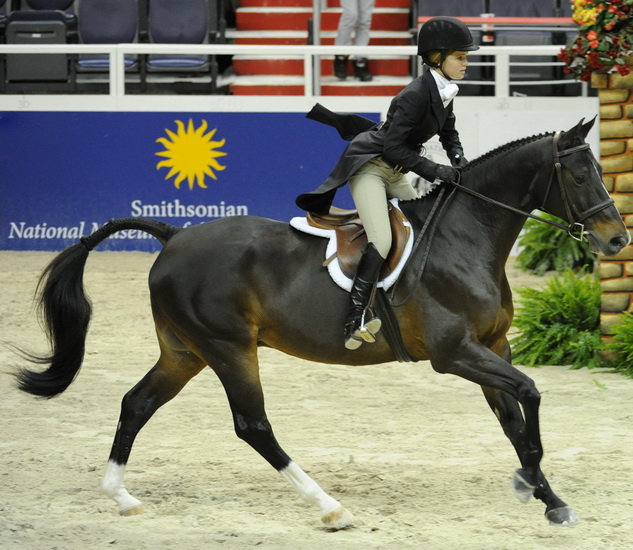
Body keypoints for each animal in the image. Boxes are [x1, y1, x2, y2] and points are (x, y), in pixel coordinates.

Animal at [13, 117, 628, 532]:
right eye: (578, 175)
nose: (617, 240)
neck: (465, 238)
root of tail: (174, 236)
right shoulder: (454, 353)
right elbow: (531, 395)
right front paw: (534, 485)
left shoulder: (491, 346)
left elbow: (514, 421)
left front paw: (548, 498)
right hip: (229, 348)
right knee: (253, 425)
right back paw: (331, 507)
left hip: (184, 352)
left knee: (136, 404)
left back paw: (120, 495)